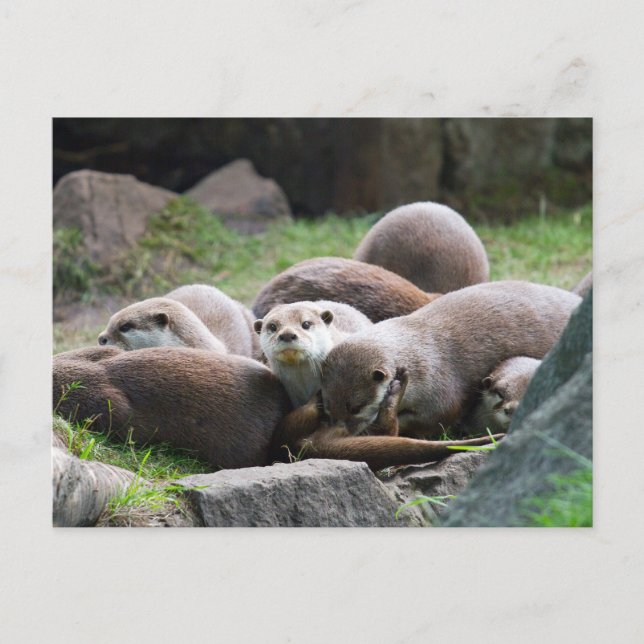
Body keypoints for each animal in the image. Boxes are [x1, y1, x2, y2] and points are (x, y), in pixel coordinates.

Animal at [321, 281, 581, 439]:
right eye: (328, 405)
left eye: (355, 407)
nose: (342, 430)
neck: (421, 358)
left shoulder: (441, 393)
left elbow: (437, 419)